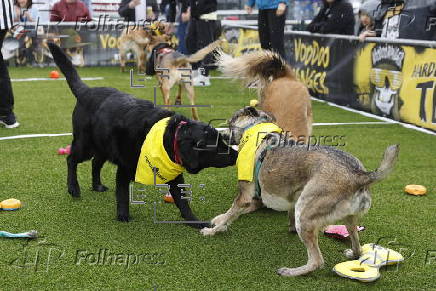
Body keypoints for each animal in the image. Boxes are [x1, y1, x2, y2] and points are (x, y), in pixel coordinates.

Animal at [201, 108, 398, 278]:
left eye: (229, 122)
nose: (221, 134)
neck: (258, 129)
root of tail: (359, 175)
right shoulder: (290, 196)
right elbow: (231, 213)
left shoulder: (245, 196)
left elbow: (231, 212)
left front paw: (212, 230)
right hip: (348, 218)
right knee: (357, 247)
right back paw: (352, 252)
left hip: (304, 214)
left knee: (317, 261)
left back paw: (291, 272)